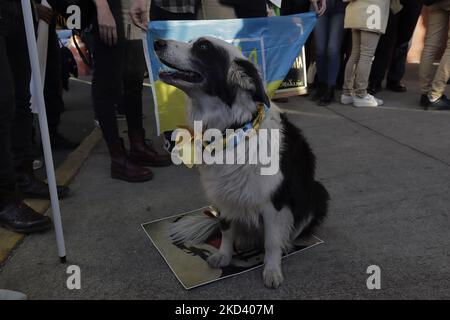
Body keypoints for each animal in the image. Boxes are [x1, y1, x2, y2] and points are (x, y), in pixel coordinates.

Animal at [154, 36, 326, 288]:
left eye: (203, 47)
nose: (157, 42)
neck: (232, 129)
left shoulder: (274, 201)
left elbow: (272, 241)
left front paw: (272, 269)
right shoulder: (222, 194)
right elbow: (226, 230)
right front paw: (225, 256)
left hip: (318, 191)